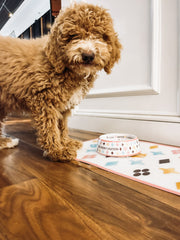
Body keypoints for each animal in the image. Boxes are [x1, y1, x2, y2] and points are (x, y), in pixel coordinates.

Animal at [0, 2, 122, 161]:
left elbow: (61, 125)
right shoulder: (44, 100)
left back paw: (4, 142)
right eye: (73, 36)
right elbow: (50, 127)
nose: (88, 55)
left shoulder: (63, 103)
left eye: (100, 35)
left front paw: (66, 142)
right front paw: (57, 150)